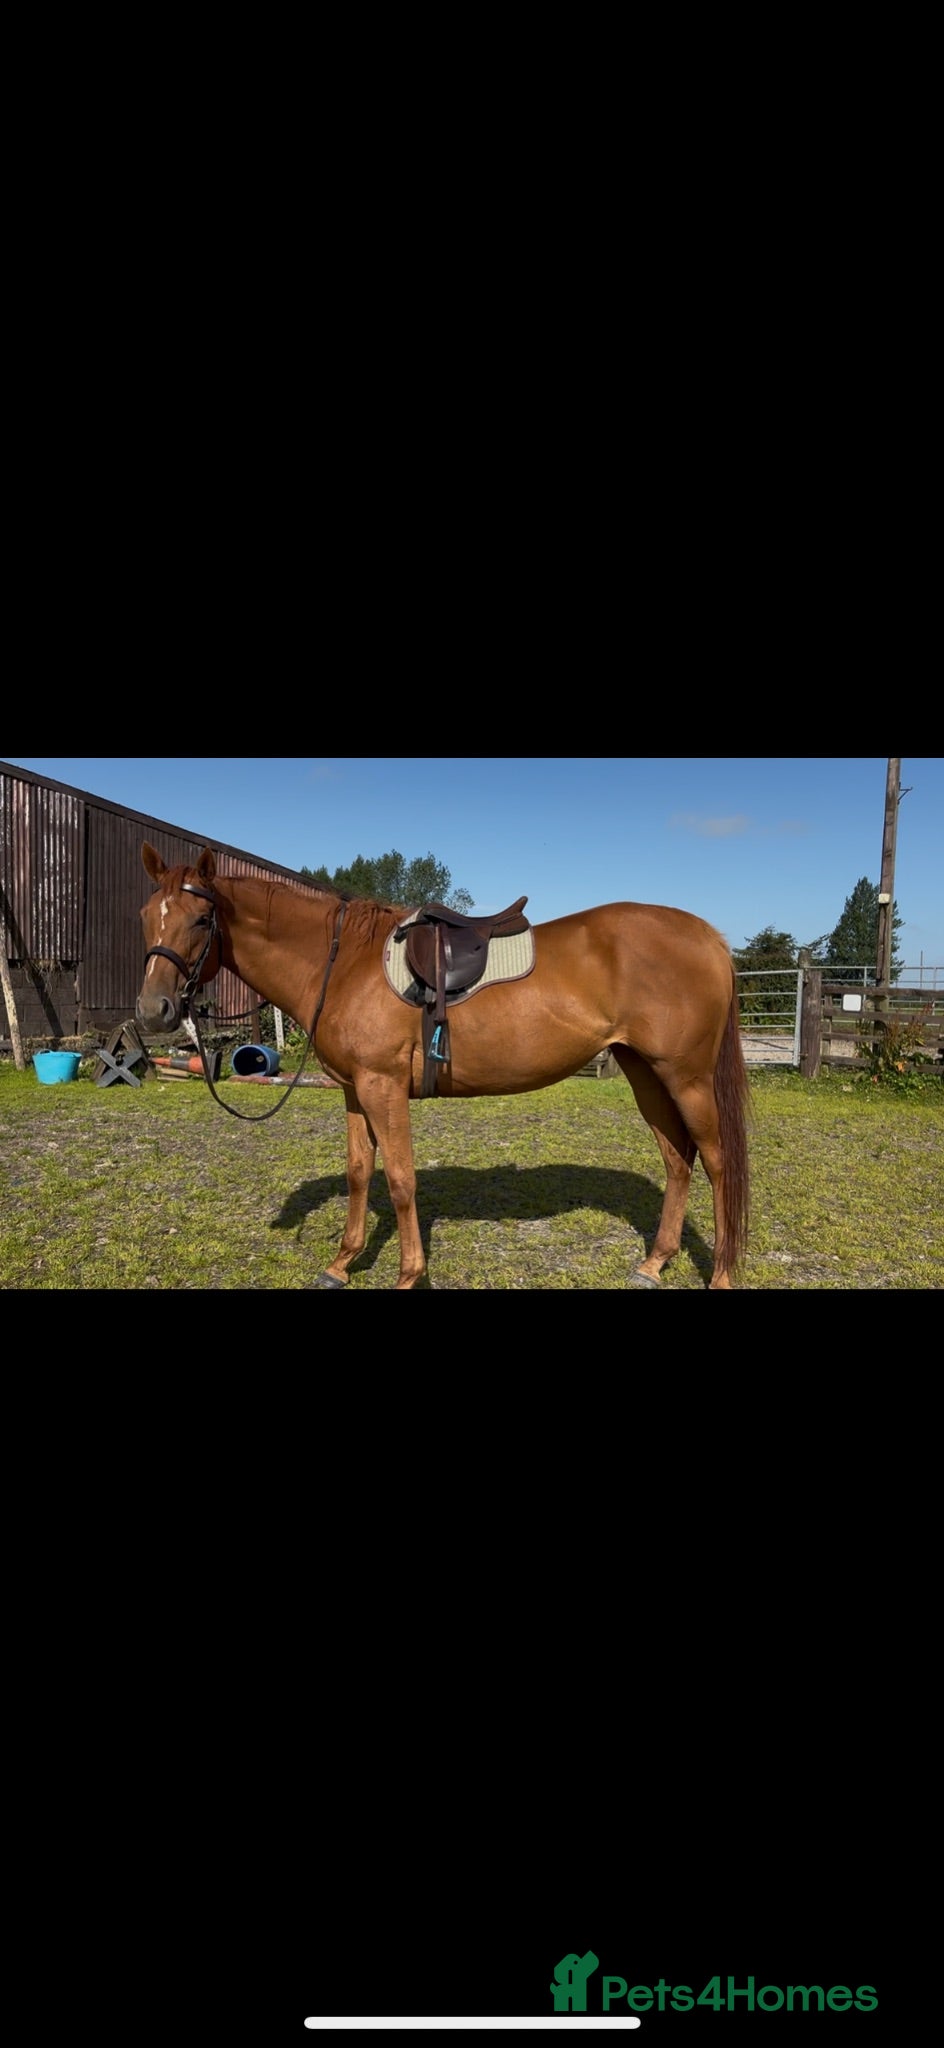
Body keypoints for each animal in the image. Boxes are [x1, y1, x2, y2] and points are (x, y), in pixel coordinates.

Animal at [135, 842, 751, 1290]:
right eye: (146, 915)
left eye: (201, 918)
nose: (152, 1010)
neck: (344, 963)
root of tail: (708, 937)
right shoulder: (354, 1091)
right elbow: (360, 1172)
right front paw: (341, 1264)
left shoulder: (382, 1088)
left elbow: (401, 1180)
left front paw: (409, 1275)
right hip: (645, 1072)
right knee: (676, 1158)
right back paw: (654, 1263)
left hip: (686, 1077)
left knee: (718, 1163)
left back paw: (720, 1275)